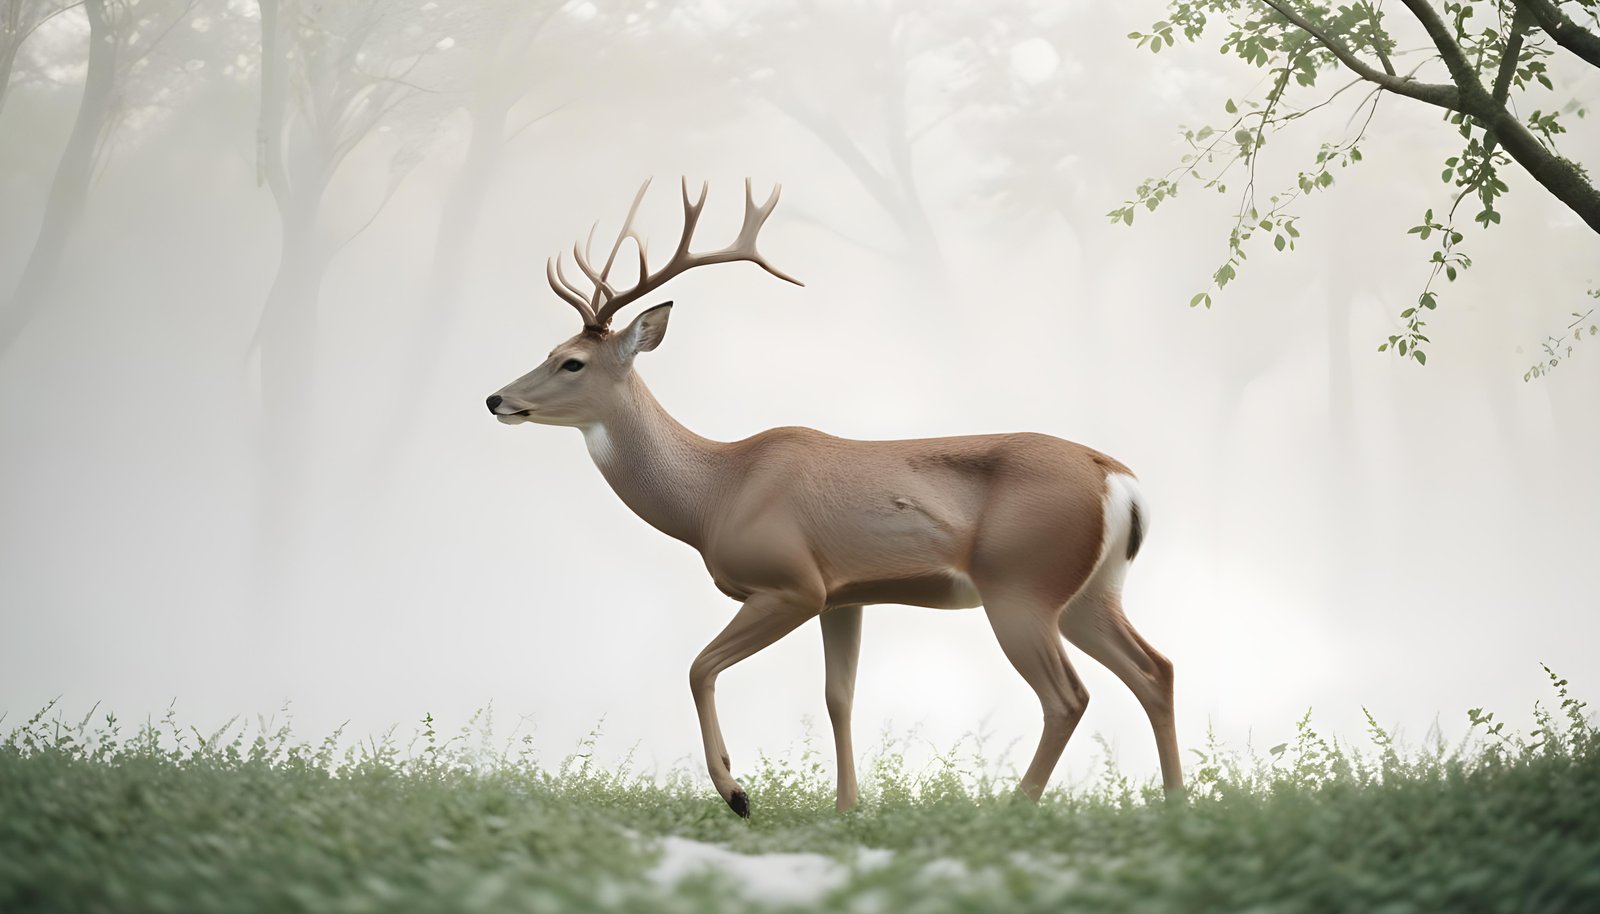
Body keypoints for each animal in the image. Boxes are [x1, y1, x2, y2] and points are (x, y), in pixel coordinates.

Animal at [486, 179, 1181, 818]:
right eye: (550, 350)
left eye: (572, 362)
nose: (496, 398)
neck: (715, 493)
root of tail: (1116, 478)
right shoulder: (845, 596)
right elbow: (838, 697)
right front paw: (847, 809)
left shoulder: (793, 583)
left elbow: (699, 667)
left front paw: (737, 792)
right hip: (1089, 592)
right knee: (1156, 670)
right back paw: (1177, 805)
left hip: (1021, 585)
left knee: (1069, 696)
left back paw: (1014, 808)